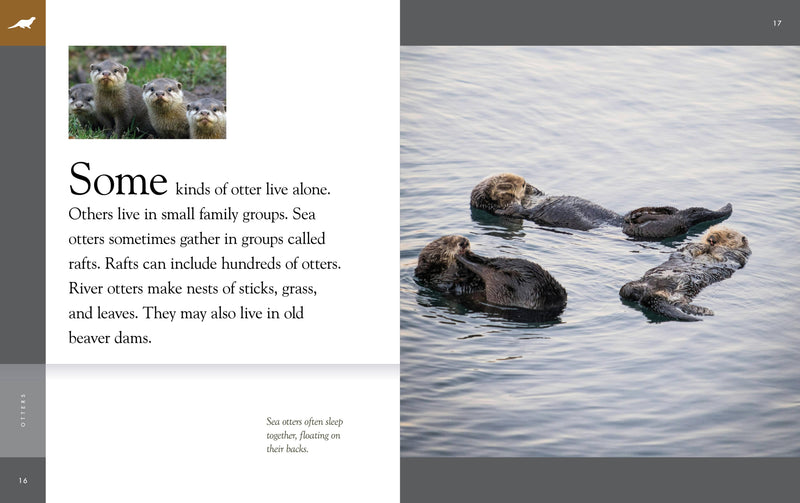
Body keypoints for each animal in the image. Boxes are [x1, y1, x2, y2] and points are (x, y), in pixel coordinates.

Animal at [470, 173, 733, 240]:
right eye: (509, 184)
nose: (522, 181)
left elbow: (538, 194)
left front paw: (531, 186)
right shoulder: (510, 211)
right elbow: (513, 208)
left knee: (675, 213)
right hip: (647, 230)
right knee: (679, 219)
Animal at [619, 225, 751, 321]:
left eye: (729, 235)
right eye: (711, 230)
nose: (712, 238)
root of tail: (647, 292)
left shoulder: (736, 257)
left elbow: (724, 254)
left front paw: (717, 248)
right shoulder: (687, 249)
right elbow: (688, 249)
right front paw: (701, 245)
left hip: (682, 291)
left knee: (676, 304)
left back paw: (704, 311)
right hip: (637, 286)